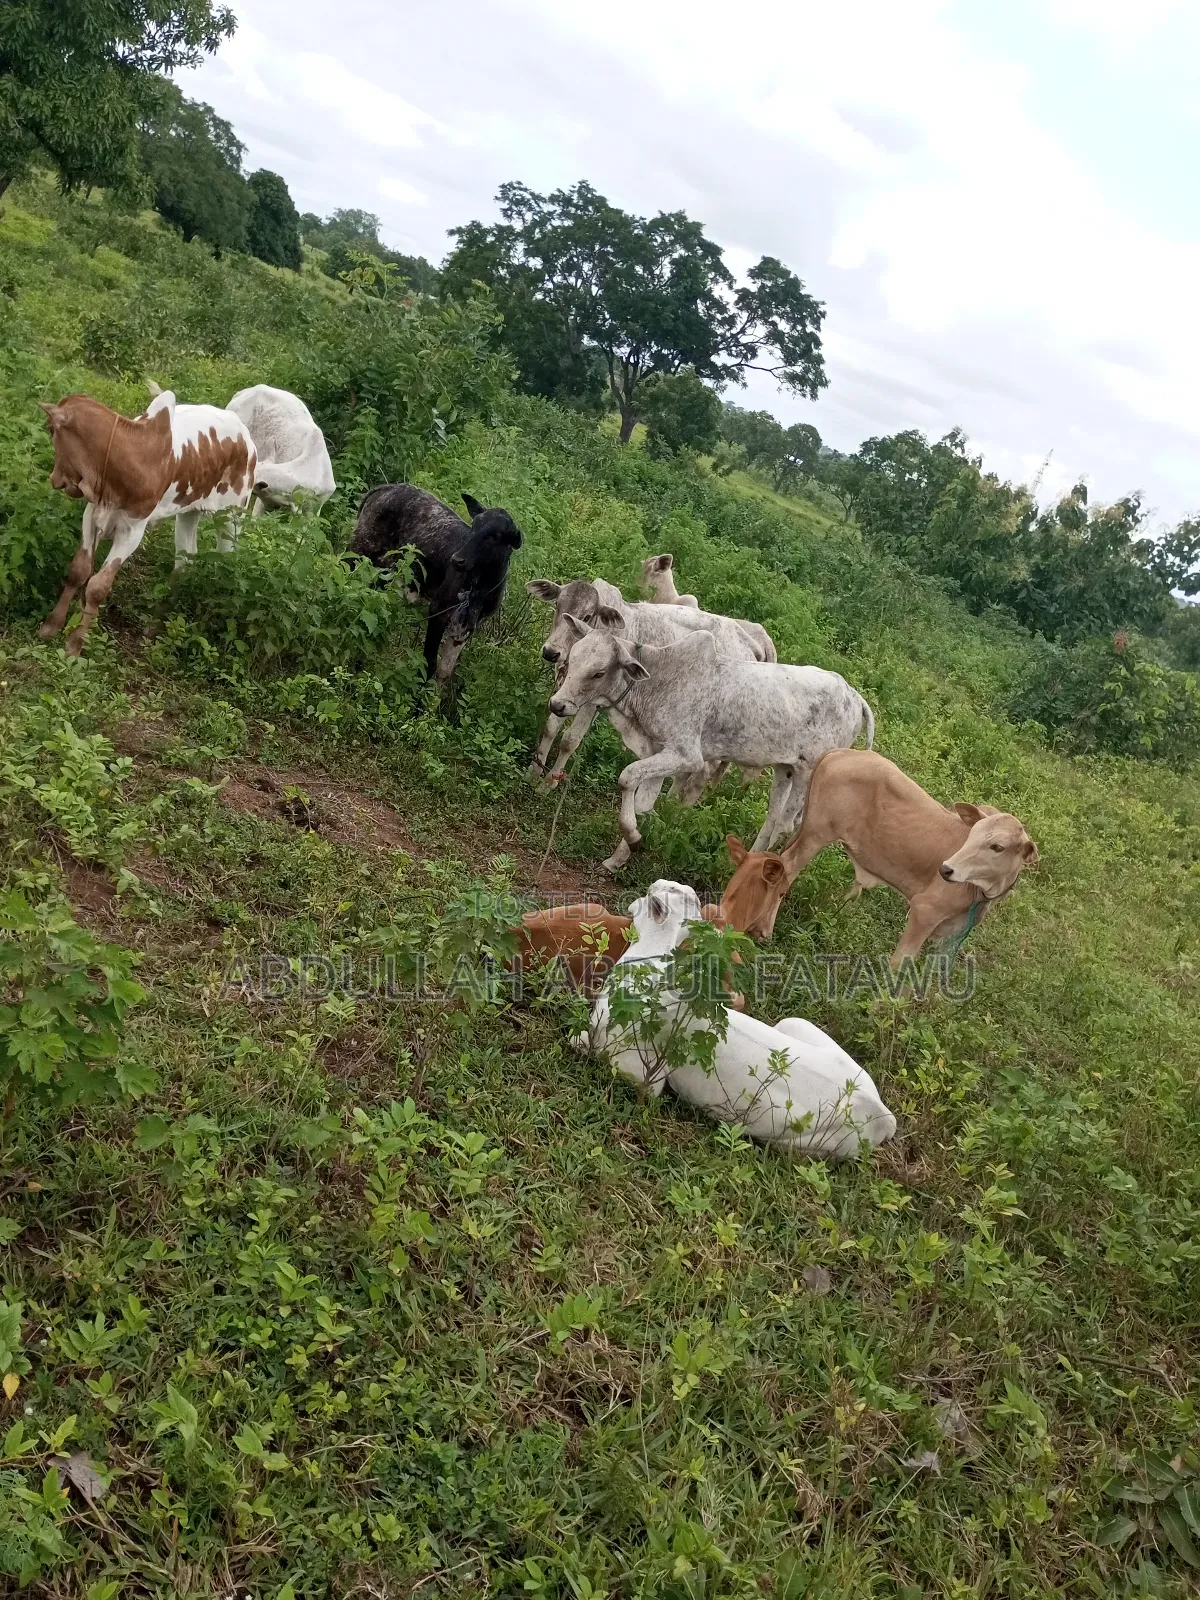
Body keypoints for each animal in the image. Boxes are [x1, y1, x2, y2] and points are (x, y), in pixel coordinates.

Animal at [37, 389, 256, 656]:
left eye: (51, 430)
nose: (54, 478)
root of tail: (245, 435)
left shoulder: (132, 530)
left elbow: (98, 586)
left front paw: (76, 643)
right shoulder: (91, 514)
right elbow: (78, 570)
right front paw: (51, 625)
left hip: (232, 516)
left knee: (225, 562)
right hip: (188, 513)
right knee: (185, 562)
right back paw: (155, 626)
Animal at [348, 484, 523, 681]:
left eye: (496, 536)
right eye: (474, 526)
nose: (457, 560)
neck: (481, 588)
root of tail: (385, 488)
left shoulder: (464, 628)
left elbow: (444, 671)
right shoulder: (439, 610)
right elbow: (429, 663)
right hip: (359, 550)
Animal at [546, 621, 874, 870]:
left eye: (598, 672)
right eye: (573, 659)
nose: (557, 704)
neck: (659, 680)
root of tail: (855, 697)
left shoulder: (686, 755)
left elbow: (626, 777)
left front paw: (633, 839)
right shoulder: (658, 750)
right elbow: (643, 804)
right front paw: (620, 857)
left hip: (809, 775)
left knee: (785, 825)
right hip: (786, 769)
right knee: (771, 820)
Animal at [577, 879, 895, 1158]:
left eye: (651, 892)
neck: (651, 964)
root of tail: (884, 1114)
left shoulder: (639, 1072)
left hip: (795, 1144)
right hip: (795, 1023)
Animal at [719, 749, 1037, 964]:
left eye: (997, 847)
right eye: (972, 835)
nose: (946, 870)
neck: (981, 895)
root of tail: (843, 752)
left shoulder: (947, 938)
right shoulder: (924, 911)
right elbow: (902, 963)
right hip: (816, 835)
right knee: (787, 868)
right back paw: (766, 929)